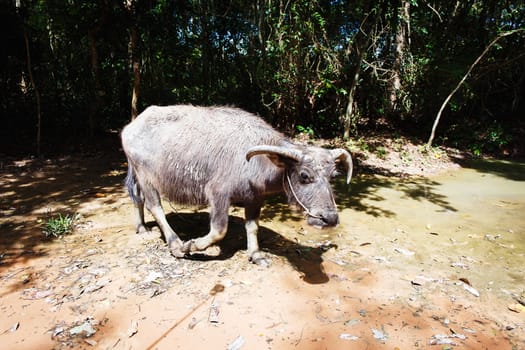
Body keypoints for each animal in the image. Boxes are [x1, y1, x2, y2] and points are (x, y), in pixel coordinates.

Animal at [122, 104, 352, 266]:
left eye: (333, 175)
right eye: (304, 175)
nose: (329, 218)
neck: (257, 164)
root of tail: (131, 126)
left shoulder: (255, 199)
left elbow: (252, 227)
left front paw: (256, 255)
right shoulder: (217, 194)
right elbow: (219, 230)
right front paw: (192, 245)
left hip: (137, 174)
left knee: (137, 198)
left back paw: (141, 228)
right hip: (146, 177)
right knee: (155, 206)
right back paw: (176, 244)